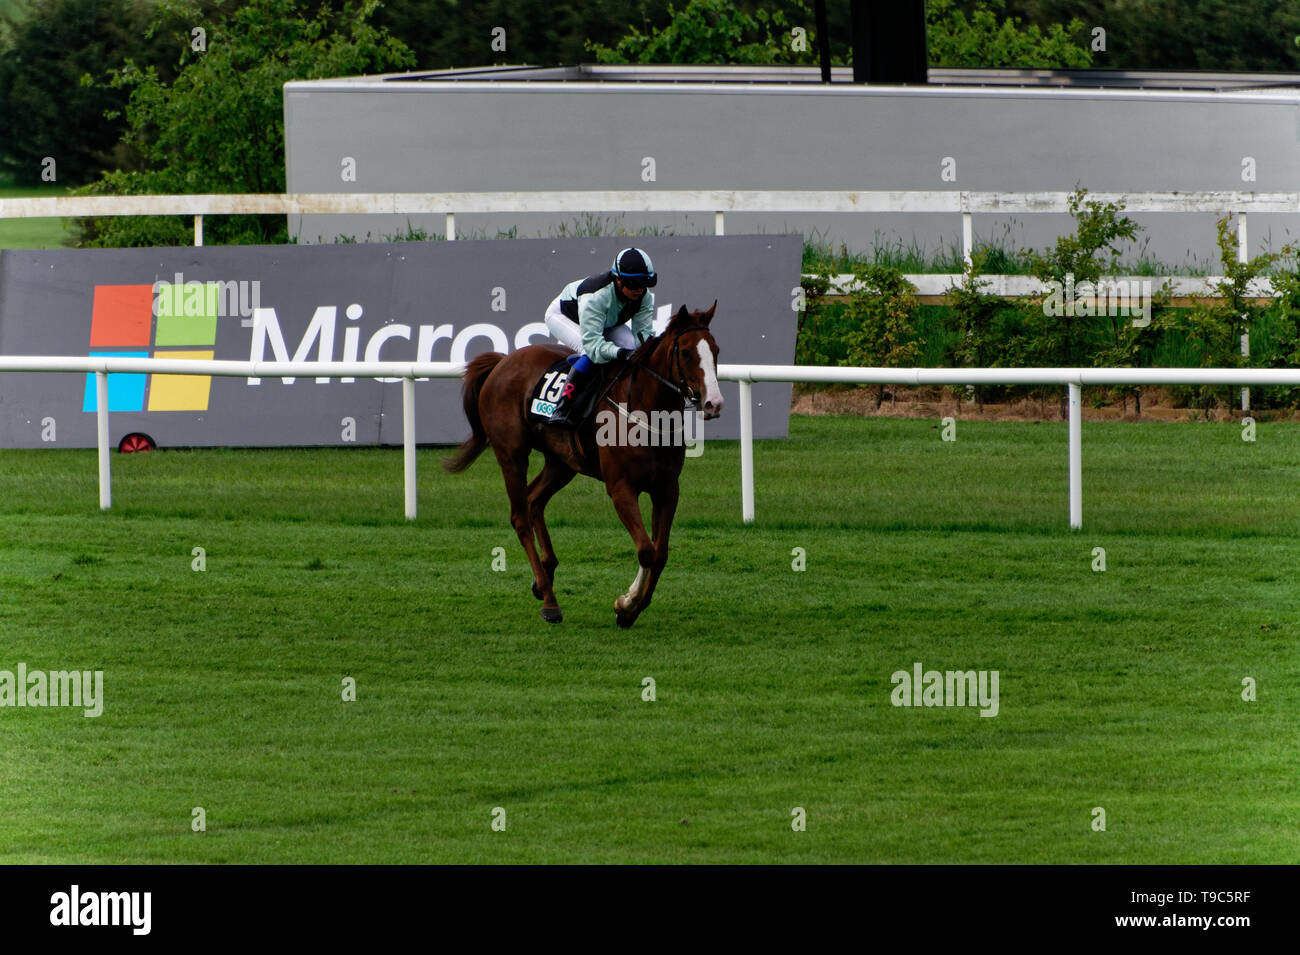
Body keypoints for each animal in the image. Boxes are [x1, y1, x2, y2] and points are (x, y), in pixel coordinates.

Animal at [447, 304, 722, 628]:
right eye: (687, 353)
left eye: (716, 350)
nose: (714, 403)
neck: (646, 411)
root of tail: (503, 361)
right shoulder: (621, 488)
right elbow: (646, 550)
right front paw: (627, 604)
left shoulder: (666, 488)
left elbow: (660, 553)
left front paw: (631, 606)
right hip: (512, 454)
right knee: (520, 517)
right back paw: (550, 602)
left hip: (562, 461)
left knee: (534, 499)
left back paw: (544, 576)